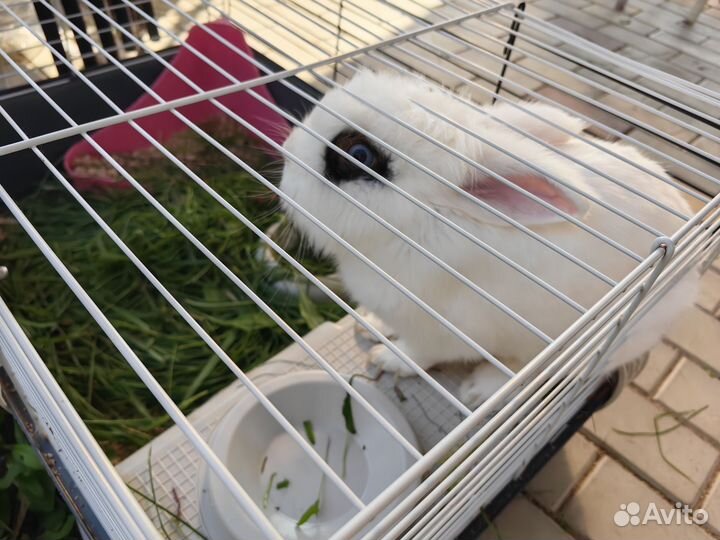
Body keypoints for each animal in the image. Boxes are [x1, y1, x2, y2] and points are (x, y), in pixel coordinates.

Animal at [278, 70, 699, 408]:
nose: (285, 154)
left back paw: (479, 389)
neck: (419, 226)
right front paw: (368, 326)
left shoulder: (443, 333)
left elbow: (417, 355)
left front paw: (384, 359)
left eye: (359, 154)